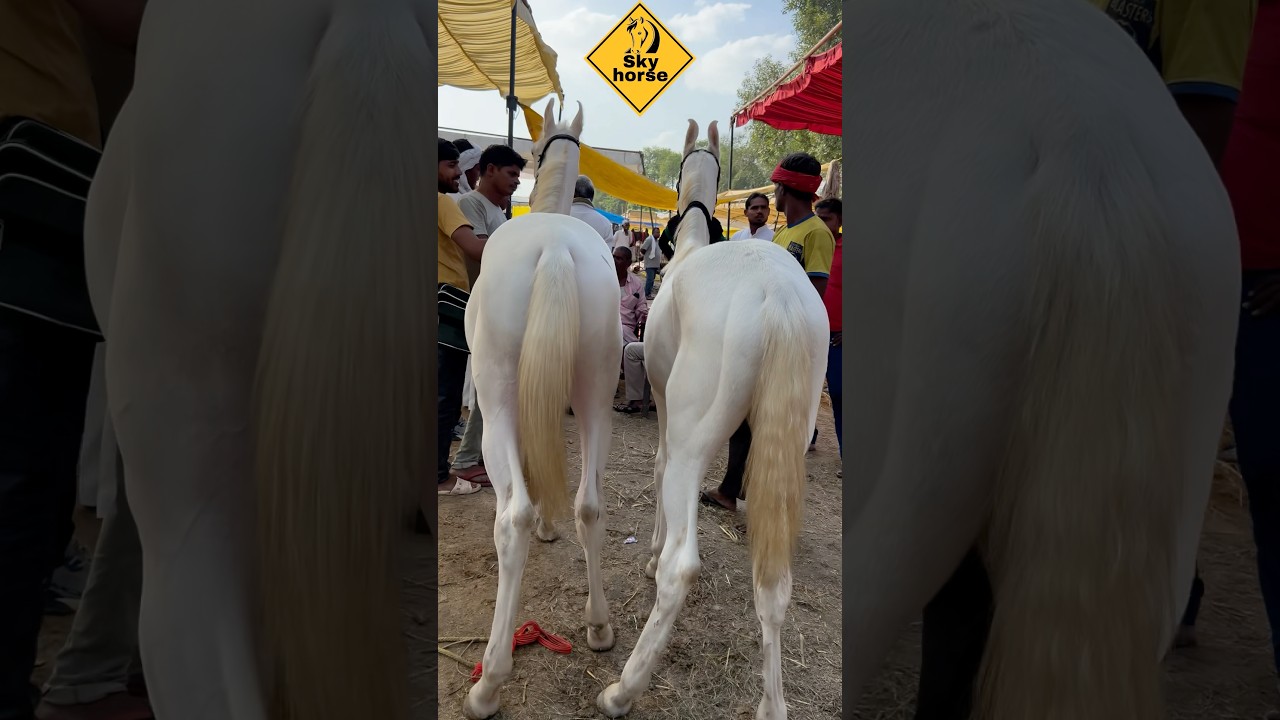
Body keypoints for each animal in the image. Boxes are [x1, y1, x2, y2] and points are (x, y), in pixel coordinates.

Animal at [460, 97, 624, 720]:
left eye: (531, 149)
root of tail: (555, 248)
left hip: (497, 400)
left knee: (514, 518)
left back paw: (489, 682)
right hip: (598, 392)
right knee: (591, 506)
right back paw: (599, 627)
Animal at [596, 119, 829, 720]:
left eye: (680, 169)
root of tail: (778, 296)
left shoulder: (664, 410)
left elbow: (657, 471)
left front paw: (651, 555)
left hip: (692, 439)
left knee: (683, 565)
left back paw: (622, 688)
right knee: (774, 584)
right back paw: (772, 705)